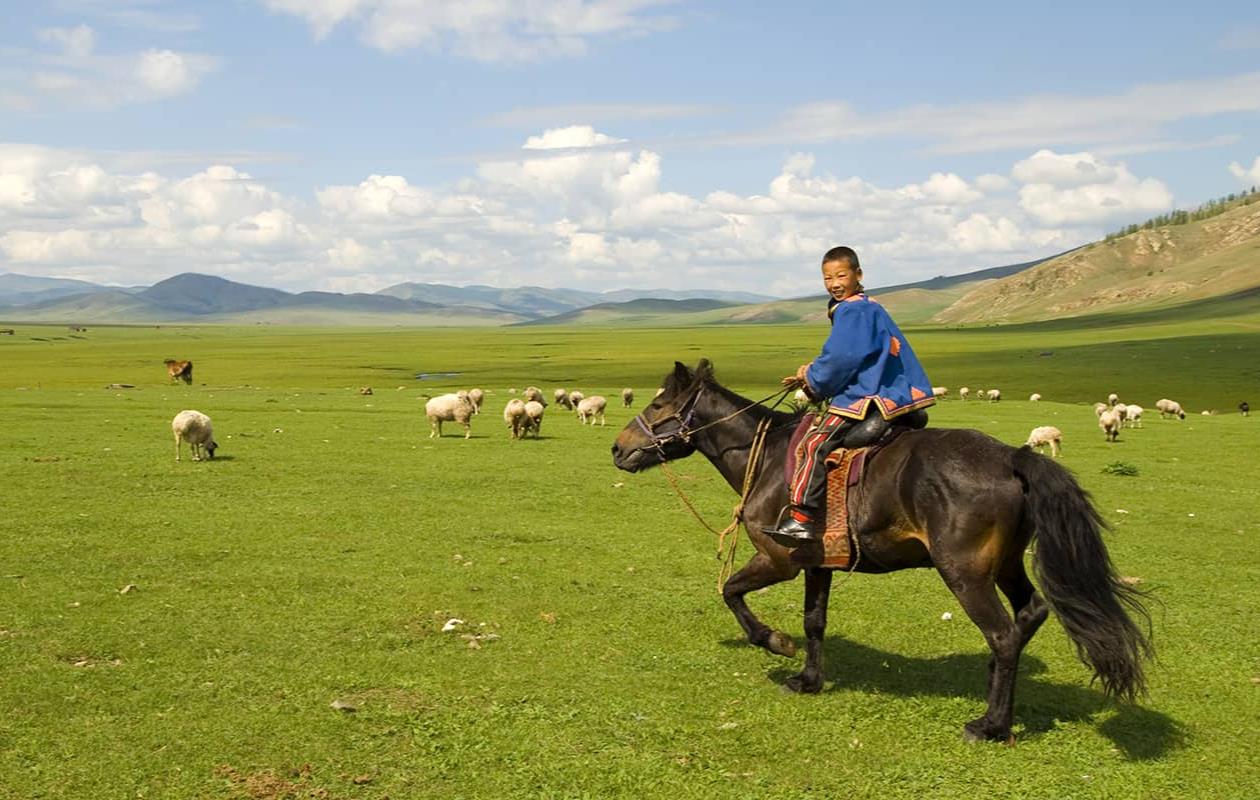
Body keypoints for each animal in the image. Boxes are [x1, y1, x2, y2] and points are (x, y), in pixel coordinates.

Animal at [609, 362, 1154, 745]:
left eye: (658, 406)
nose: (617, 449)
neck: (767, 460)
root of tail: (1011, 457)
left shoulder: (779, 560)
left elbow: (731, 591)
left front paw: (775, 643)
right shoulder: (817, 564)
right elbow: (814, 621)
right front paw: (808, 679)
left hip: (965, 572)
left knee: (1002, 633)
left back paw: (991, 725)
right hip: (1005, 565)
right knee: (1030, 613)